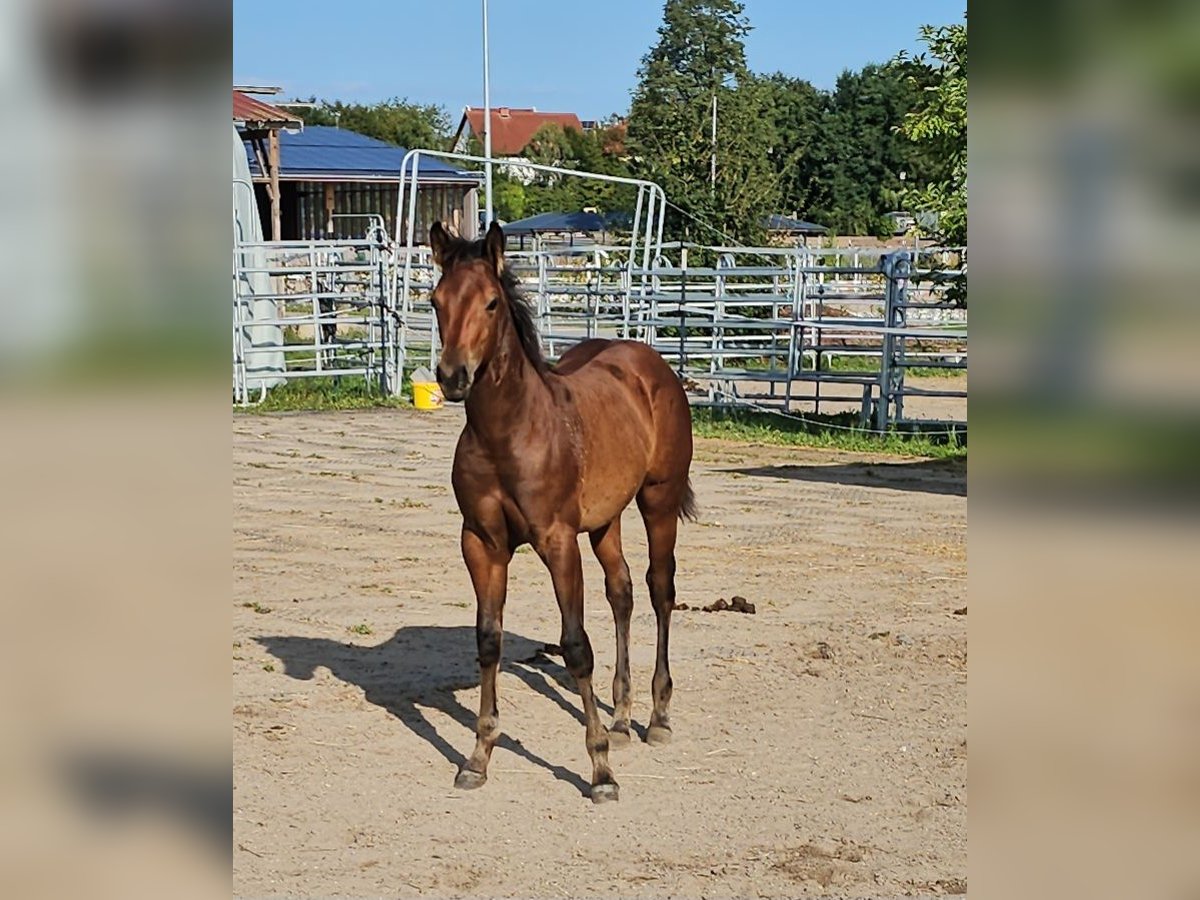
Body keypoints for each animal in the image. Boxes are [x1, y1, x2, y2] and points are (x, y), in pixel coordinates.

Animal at [429, 218, 696, 801]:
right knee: (621, 592)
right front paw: (478, 757)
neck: (508, 433)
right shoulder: (481, 543)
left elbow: (576, 646)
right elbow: (488, 640)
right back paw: (621, 719)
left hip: (658, 500)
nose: (453, 376)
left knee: (659, 589)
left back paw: (659, 717)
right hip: (605, 520)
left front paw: (600, 773)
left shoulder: (557, 541)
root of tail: (649, 364)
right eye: (435, 300)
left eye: (490, 304)